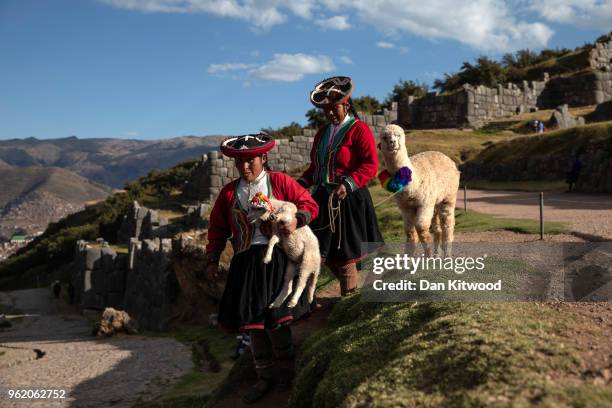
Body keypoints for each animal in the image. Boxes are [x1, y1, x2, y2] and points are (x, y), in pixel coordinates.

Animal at [378, 125, 460, 258]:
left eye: (398, 135)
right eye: (385, 137)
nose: (392, 142)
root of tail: (448, 158)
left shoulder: (424, 204)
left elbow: (421, 227)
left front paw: (428, 254)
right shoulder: (405, 207)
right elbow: (409, 231)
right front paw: (409, 256)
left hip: (449, 195)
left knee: (447, 222)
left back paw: (446, 253)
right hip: (435, 200)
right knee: (437, 227)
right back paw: (437, 253)